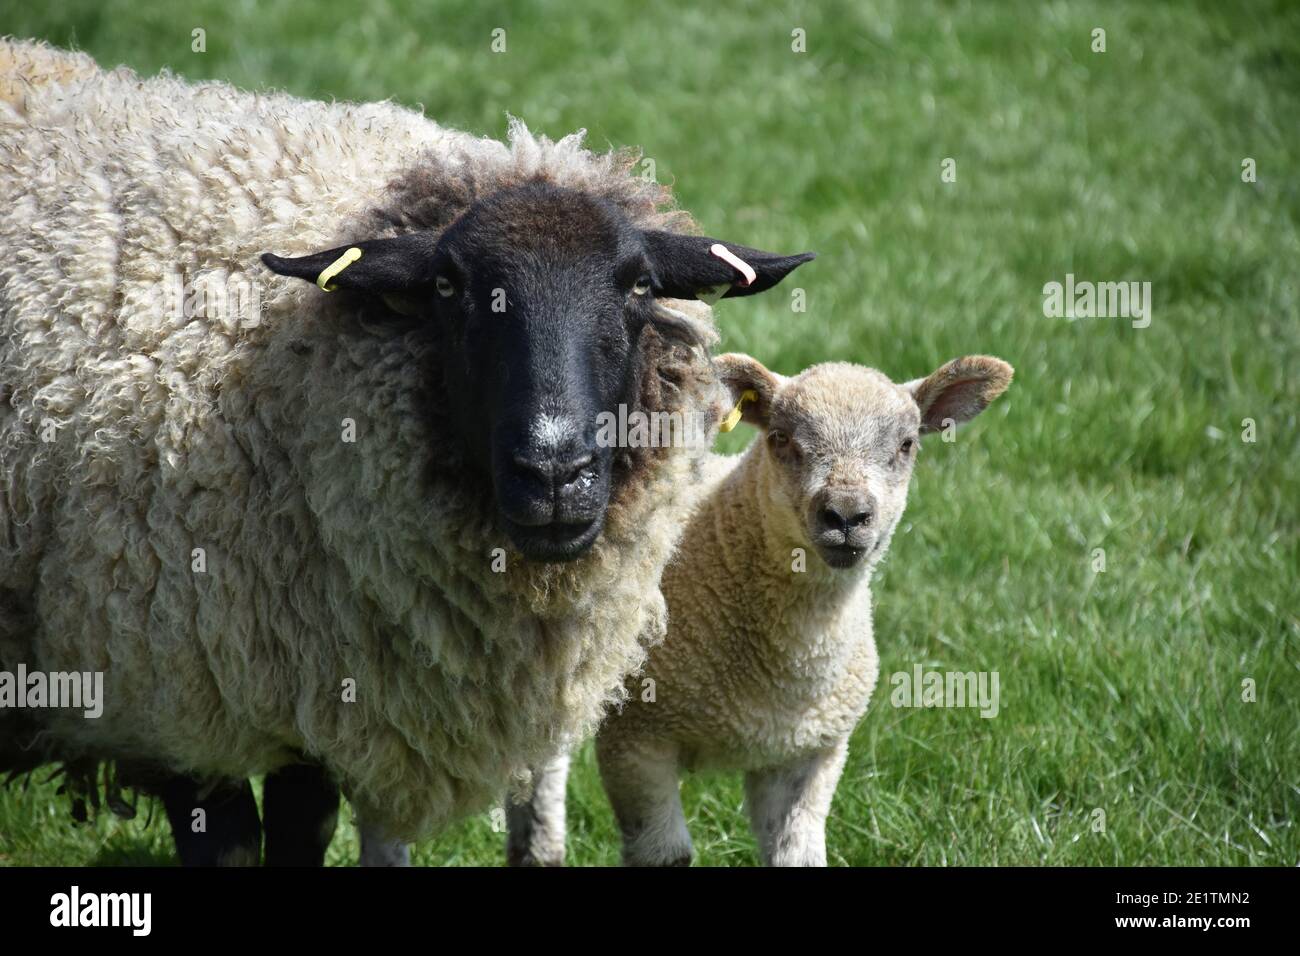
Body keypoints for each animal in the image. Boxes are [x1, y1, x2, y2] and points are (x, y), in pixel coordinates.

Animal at [0, 38, 815, 863]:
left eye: (641, 286)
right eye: (448, 288)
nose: (554, 473)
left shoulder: (314, 693)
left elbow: (303, 827)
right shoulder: (173, 693)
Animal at [508, 352, 1013, 866]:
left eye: (907, 445)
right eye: (780, 438)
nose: (846, 515)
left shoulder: (807, 755)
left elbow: (798, 856)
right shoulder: (636, 739)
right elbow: (666, 853)